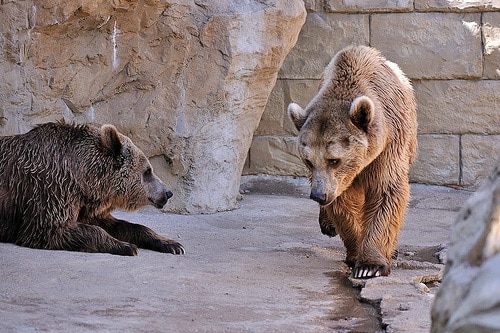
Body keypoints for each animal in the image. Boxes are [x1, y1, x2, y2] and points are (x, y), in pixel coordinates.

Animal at [0, 121, 184, 254]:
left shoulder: (84, 204)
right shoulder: (52, 189)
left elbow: (123, 226)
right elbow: (52, 228)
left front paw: (172, 244)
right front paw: (126, 246)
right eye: (147, 171)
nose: (167, 193)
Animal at [288, 44, 416, 278]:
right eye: (308, 161)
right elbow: (344, 203)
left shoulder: (389, 147)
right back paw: (327, 224)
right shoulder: (339, 181)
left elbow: (386, 191)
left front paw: (369, 266)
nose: (318, 195)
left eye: (334, 160)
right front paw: (356, 252)